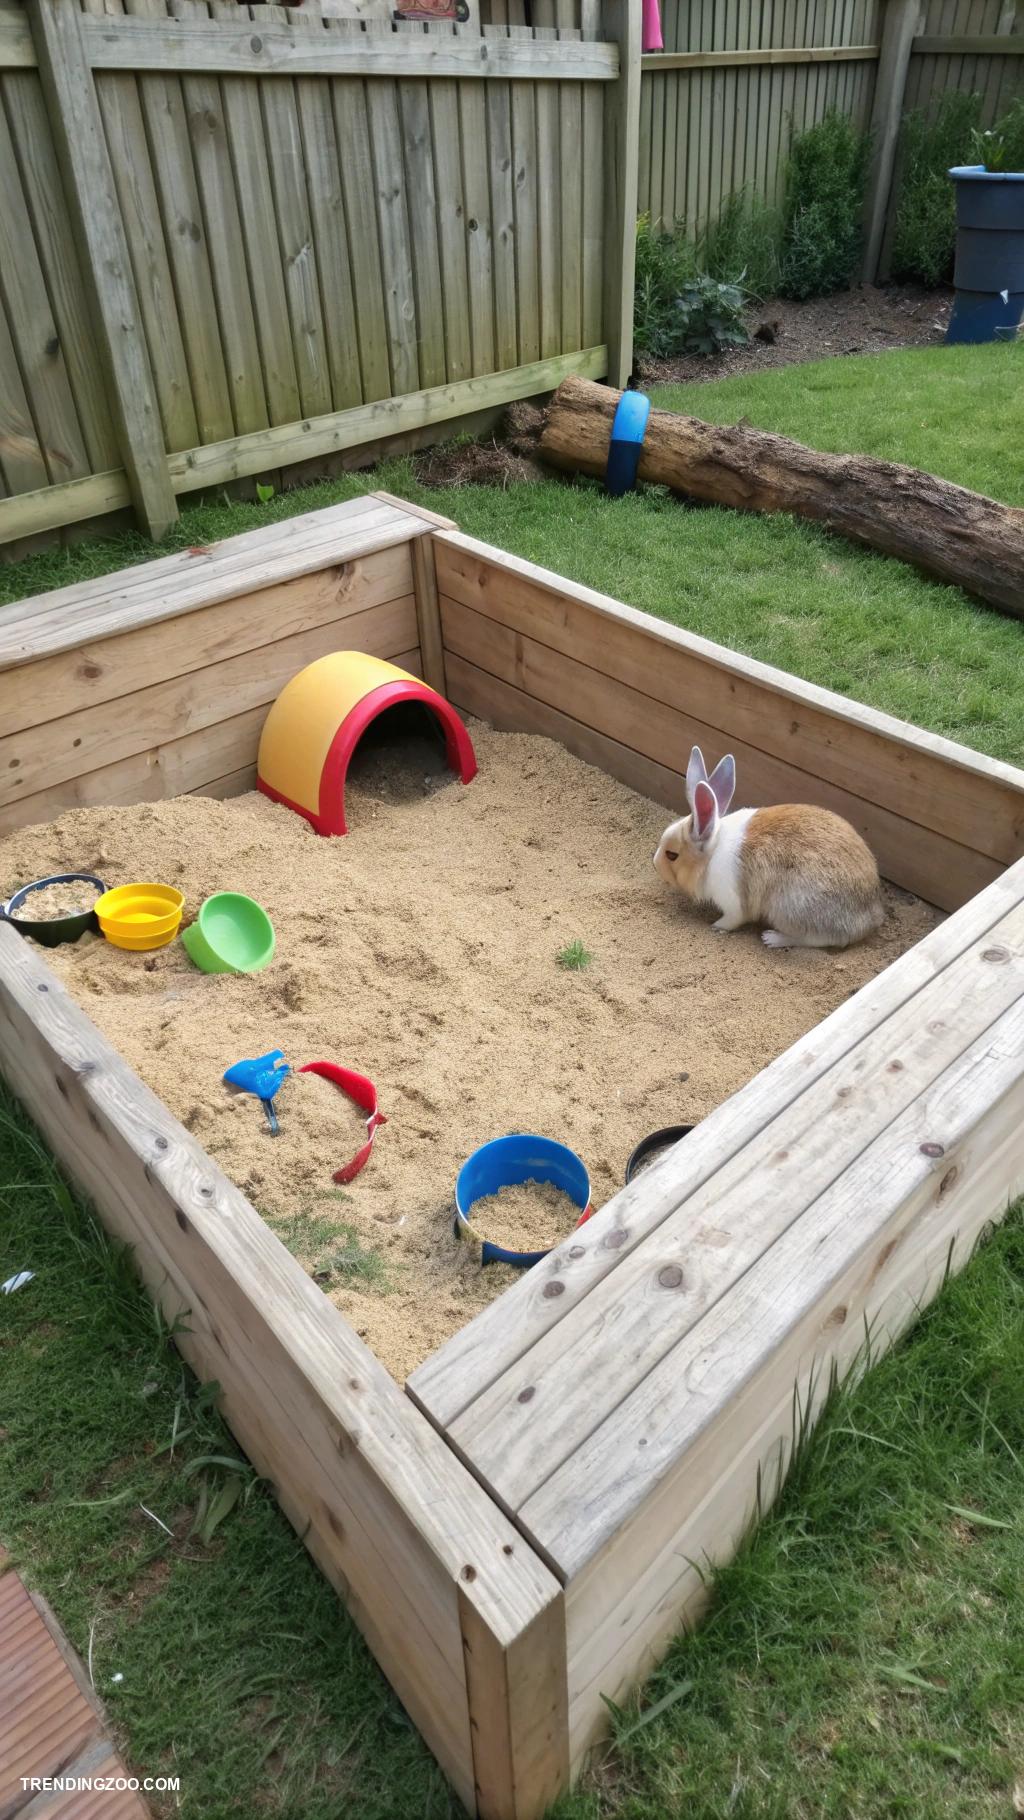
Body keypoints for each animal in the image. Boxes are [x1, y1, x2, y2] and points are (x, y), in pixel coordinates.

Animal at [653, 746, 885, 950]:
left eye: (672, 855)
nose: (655, 865)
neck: (711, 855)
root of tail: (870, 917)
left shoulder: (733, 904)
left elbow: (733, 919)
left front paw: (716, 927)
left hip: (789, 907)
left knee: (820, 939)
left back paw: (772, 939)